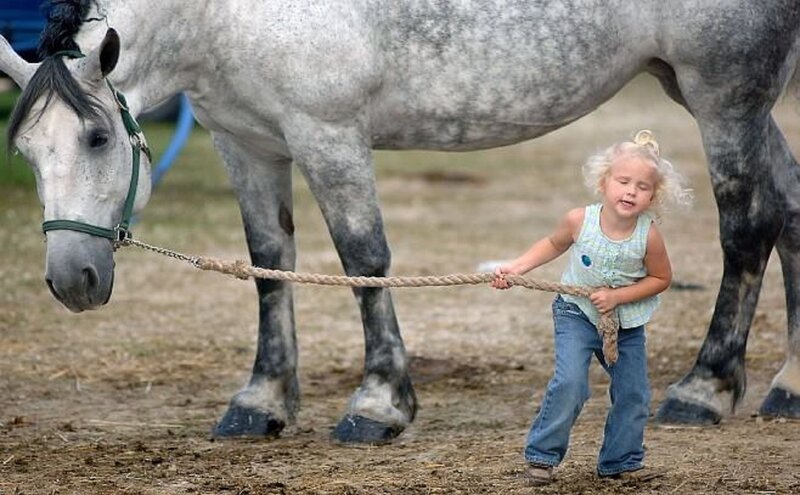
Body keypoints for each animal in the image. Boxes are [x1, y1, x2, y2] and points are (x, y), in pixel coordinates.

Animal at [1, 0, 799, 444]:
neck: (221, 13)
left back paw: (703, 389)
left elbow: (362, 260)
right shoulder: (244, 142)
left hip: (724, 96)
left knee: (749, 225)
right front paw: (261, 401)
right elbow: (268, 264)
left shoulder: (328, 135)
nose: (72, 279)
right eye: (26, 150)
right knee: (790, 211)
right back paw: (786, 389)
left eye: (97, 138)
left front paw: (379, 403)